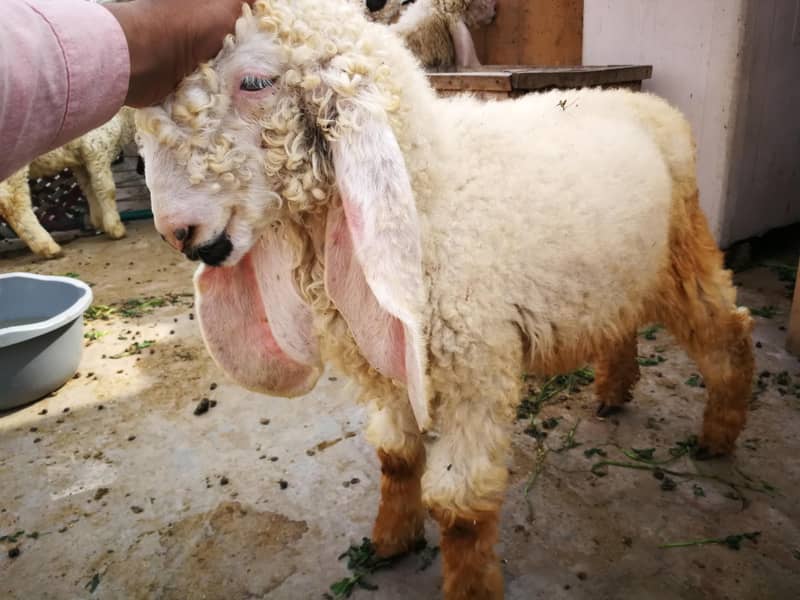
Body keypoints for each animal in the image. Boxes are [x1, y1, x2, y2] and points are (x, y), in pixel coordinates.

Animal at [0, 108, 134, 258]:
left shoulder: (82, 161)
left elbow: (89, 188)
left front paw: (99, 221)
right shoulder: (96, 146)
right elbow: (106, 189)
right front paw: (114, 227)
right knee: (14, 204)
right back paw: (48, 247)